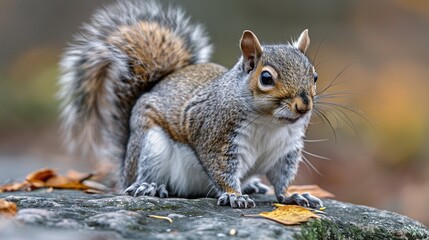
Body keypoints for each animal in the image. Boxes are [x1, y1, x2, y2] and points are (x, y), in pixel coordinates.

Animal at [58, 0, 322, 208]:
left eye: (314, 76)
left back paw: (252, 185)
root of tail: (125, 168)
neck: (270, 122)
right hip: (151, 146)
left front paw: (293, 195)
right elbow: (221, 169)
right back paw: (149, 187)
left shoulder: (285, 150)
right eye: (266, 78)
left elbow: (281, 178)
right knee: (142, 177)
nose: (303, 106)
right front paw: (234, 195)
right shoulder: (215, 136)